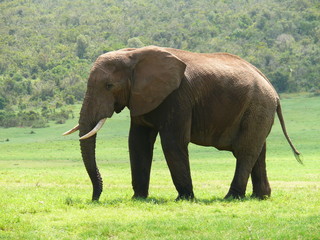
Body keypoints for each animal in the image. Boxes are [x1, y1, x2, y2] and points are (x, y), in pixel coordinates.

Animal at [63, 46, 302, 202]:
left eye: (109, 86)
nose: (95, 198)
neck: (133, 54)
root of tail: (274, 92)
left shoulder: (177, 97)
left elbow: (172, 142)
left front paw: (184, 199)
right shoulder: (141, 97)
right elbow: (138, 143)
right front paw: (138, 198)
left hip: (258, 106)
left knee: (245, 151)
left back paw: (231, 197)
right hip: (258, 110)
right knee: (259, 150)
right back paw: (261, 197)